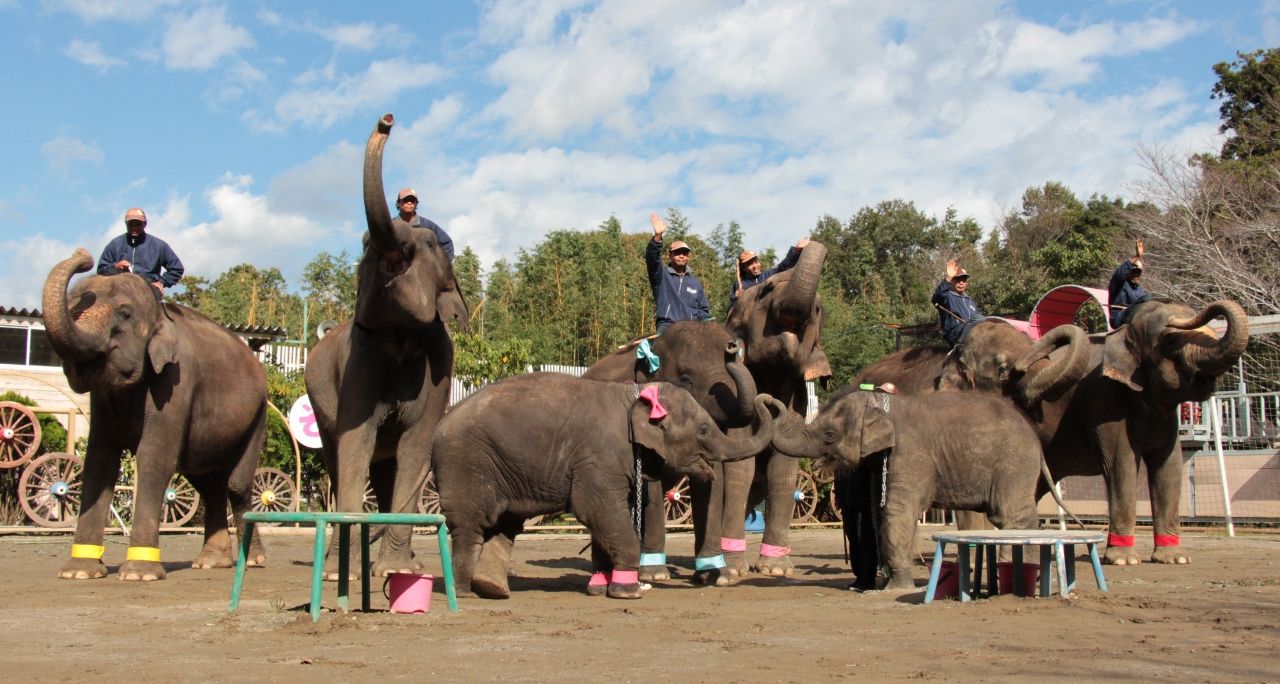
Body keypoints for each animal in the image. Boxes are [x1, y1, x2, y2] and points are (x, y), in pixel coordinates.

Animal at [41, 249, 267, 581]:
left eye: (124, 314)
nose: (83, 255)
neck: (160, 315)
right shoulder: (103, 399)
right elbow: (99, 460)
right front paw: (78, 572)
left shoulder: (175, 382)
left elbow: (154, 457)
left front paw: (139, 574)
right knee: (208, 484)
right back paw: (211, 562)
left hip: (257, 416)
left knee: (235, 485)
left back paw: (253, 561)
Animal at [302, 114, 468, 578]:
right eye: (362, 245)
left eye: (430, 245)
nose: (387, 120)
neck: (400, 336)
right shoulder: (361, 359)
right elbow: (355, 442)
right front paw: (346, 574)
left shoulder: (440, 367)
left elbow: (415, 446)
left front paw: (397, 572)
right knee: (340, 462)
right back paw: (337, 564)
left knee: (389, 469)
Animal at [432, 376, 778, 599]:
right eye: (704, 430)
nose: (769, 400)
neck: (633, 396)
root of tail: (440, 425)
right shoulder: (599, 458)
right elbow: (597, 509)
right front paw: (628, 591)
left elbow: (605, 518)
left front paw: (599, 588)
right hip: (466, 463)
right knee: (472, 525)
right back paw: (463, 592)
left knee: (504, 524)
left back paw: (492, 589)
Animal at [768, 389, 1059, 591]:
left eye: (829, 434)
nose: (770, 401)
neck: (885, 405)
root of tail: (1035, 440)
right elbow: (883, 513)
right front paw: (889, 585)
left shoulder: (909, 453)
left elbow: (897, 511)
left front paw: (893, 589)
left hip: (1013, 463)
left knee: (1010, 515)